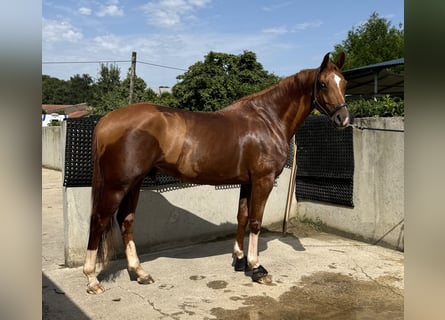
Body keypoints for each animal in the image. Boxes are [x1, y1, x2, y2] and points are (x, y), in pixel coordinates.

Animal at [82, 52, 346, 296]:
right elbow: (255, 221)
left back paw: (139, 272)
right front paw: (256, 268)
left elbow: (242, 216)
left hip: (134, 183)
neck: (267, 119)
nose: (343, 119)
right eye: (323, 84)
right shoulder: (263, 180)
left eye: (343, 83)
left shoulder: (246, 182)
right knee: (98, 221)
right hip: (117, 185)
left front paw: (239, 260)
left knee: (126, 221)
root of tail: (106, 120)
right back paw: (92, 279)